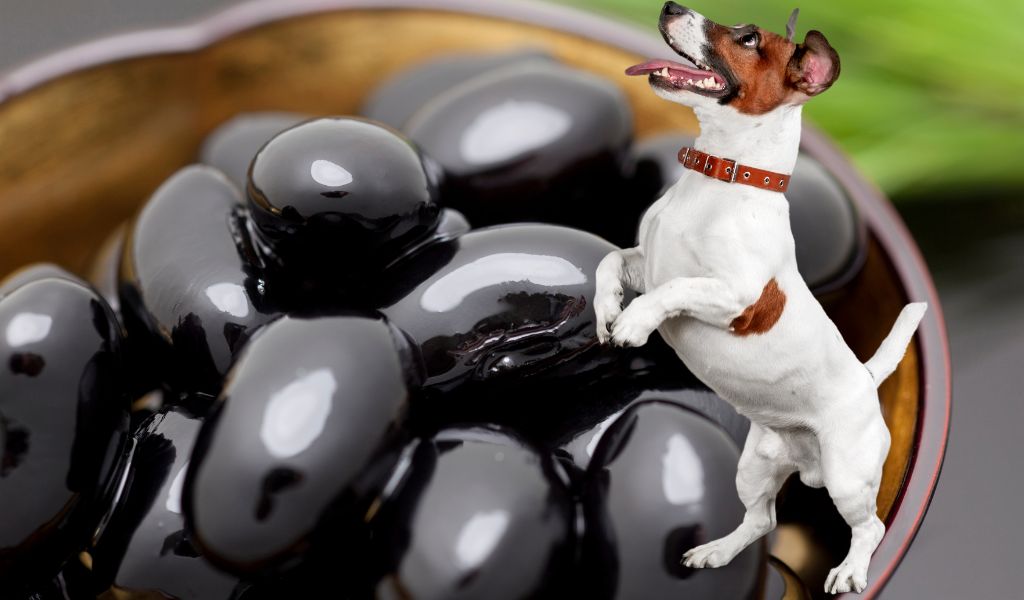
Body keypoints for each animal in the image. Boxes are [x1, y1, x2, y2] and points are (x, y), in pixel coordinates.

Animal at [598, 3, 933, 593]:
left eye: (749, 39)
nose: (670, 7)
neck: (720, 180)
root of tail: (866, 379)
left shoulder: (736, 299)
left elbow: (675, 289)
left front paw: (635, 323)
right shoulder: (644, 262)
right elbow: (609, 263)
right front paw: (606, 310)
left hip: (847, 476)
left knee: (868, 527)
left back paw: (849, 571)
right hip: (754, 465)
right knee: (762, 520)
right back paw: (715, 551)